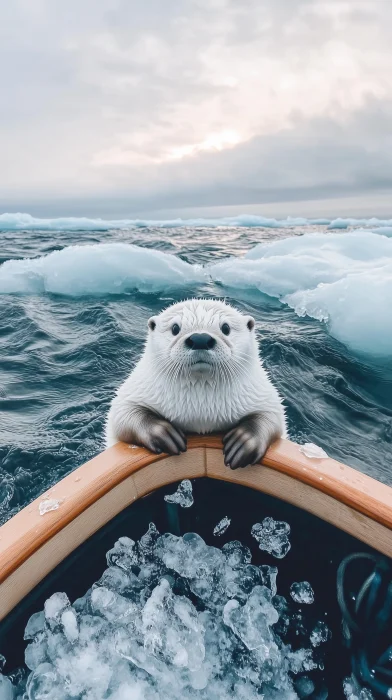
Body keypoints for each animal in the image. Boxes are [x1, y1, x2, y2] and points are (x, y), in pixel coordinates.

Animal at [105, 298, 286, 468]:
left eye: (225, 327)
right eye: (175, 328)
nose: (200, 338)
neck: (200, 410)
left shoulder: (261, 392)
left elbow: (273, 417)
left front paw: (243, 442)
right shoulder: (137, 388)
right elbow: (122, 414)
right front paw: (163, 433)